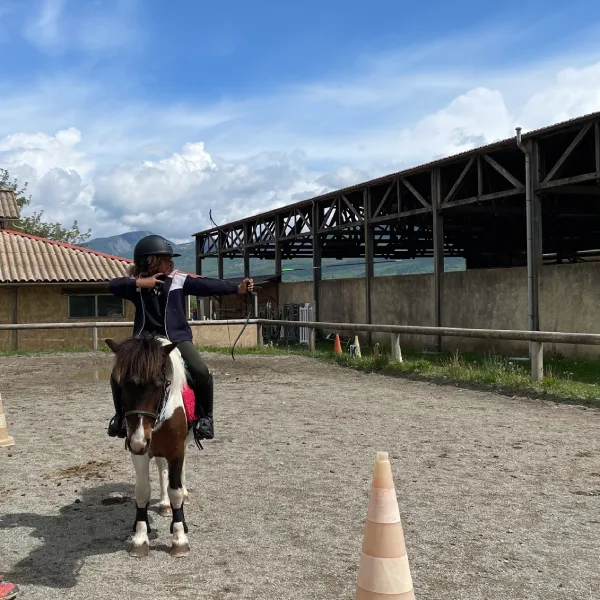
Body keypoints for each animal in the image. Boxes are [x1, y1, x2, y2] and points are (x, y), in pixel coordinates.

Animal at [104, 332, 200, 556]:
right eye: (122, 385)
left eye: (158, 384)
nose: (139, 440)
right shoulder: (139, 451)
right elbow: (142, 490)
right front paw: (140, 538)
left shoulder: (176, 451)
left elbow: (176, 491)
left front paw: (179, 539)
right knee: (161, 468)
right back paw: (164, 504)